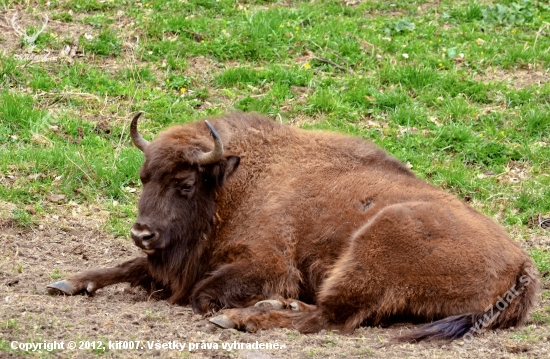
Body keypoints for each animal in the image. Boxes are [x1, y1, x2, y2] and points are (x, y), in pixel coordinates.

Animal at [47, 111, 540, 342]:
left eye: (185, 184)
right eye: (143, 178)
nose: (142, 233)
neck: (239, 182)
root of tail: (524, 268)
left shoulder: (268, 263)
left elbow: (201, 294)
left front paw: (225, 308)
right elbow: (129, 267)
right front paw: (68, 281)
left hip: (375, 244)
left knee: (331, 317)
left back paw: (241, 317)